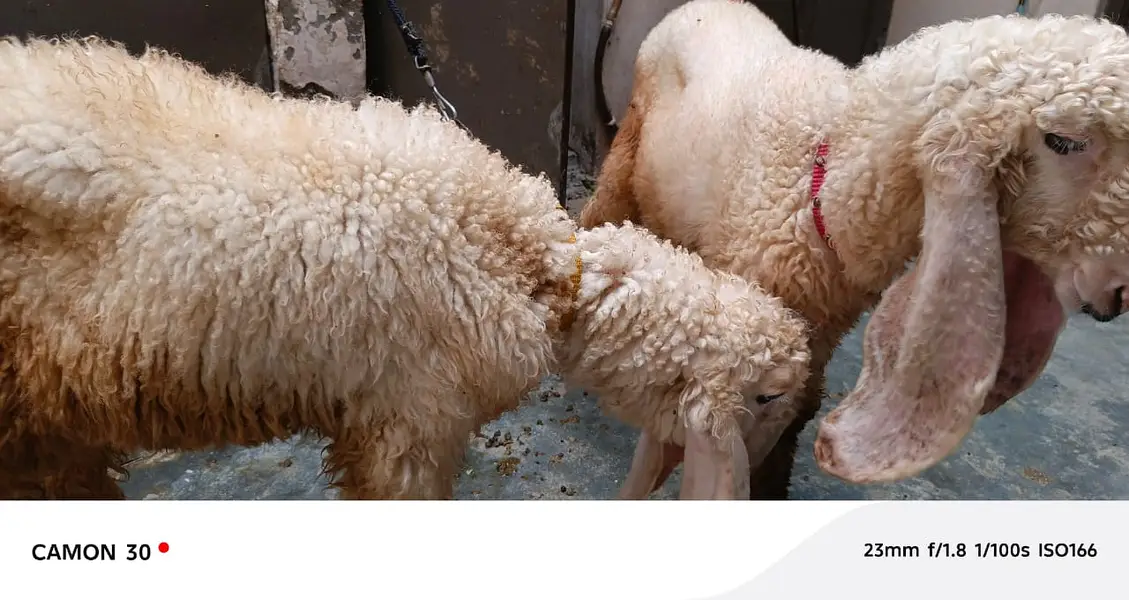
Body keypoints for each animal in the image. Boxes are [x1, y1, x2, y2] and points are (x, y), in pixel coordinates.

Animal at [580, 0, 1129, 496]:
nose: (1117, 295)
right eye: (1063, 141)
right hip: (628, 148)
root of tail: (700, 5)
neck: (821, 182)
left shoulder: (812, 338)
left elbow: (790, 423)